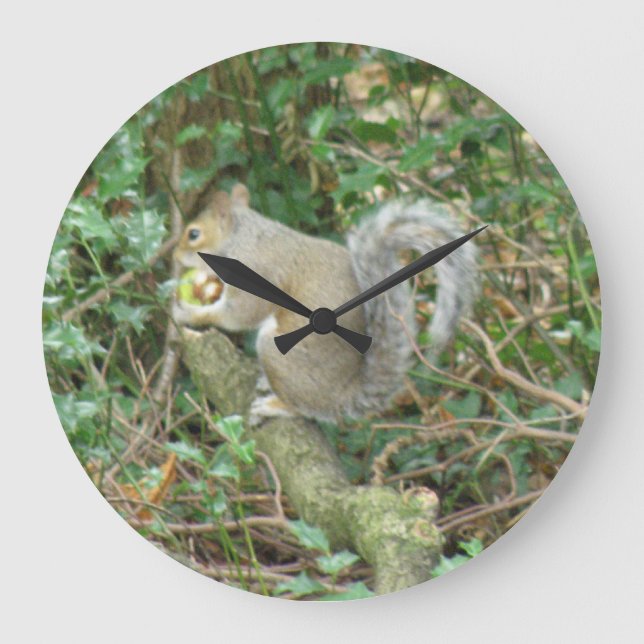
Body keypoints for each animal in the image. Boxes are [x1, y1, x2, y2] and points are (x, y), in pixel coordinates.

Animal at [173, 183, 479, 421]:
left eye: (193, 234)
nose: (174, 256)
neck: (243, 238)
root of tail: (341, 395)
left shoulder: (254, 275)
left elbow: (237, 315)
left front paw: (189, 313)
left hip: (277, 352)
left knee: (303, 408)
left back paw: (276, 405)